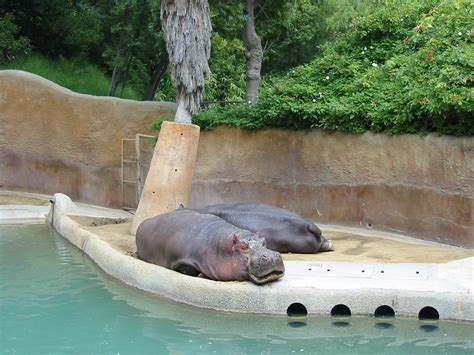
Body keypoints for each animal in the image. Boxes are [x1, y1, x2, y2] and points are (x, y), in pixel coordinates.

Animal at [136, 210, 286, 286]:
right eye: (243, 246)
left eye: (264, 241)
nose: (272, 255)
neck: (222, 246)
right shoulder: (181, 260)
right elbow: (188, 269)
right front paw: (201, 274)